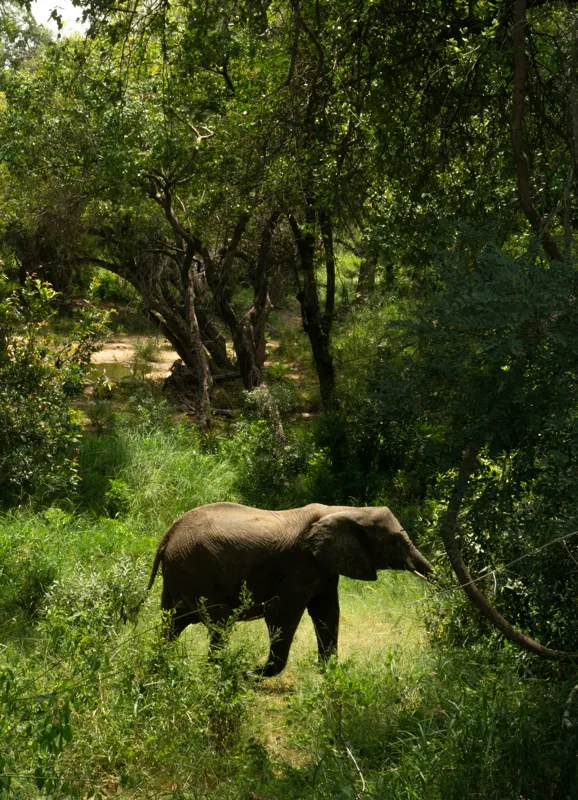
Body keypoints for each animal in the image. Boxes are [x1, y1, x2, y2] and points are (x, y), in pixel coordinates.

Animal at [143, 502, 433, 677]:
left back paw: (161, 665)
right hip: (196, 569)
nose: (430, 576)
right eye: (394, 541)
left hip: (180, 572)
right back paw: (218, 671)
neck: (346, 510)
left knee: (172, 622)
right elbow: (282, 612)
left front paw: (329, 673)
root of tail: (168, 534)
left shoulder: (324, 566)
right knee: (220, 621)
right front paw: (254, 674)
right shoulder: (302, 563)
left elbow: (327, 612)